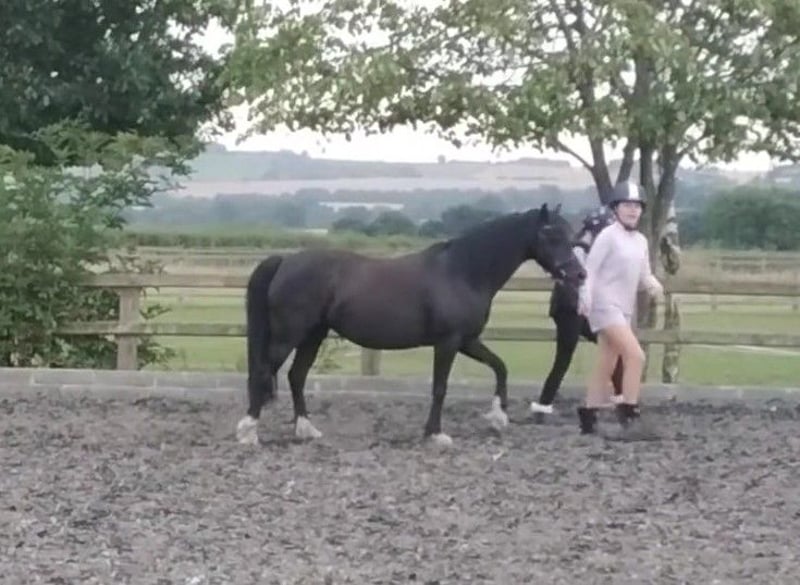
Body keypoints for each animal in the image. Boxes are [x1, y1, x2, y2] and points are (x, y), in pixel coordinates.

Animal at [236, 204, 587, 448]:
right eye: (551, 235)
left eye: (570, 235)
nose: (579, 275)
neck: (462, 272)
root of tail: (285, 261)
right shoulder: (448, 342)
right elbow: (440, 387)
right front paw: (435, 434)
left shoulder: (467, 340)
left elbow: (500, 367)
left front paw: (498, 417)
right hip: (290, 335)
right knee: (264, 371)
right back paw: (249, 431)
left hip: (313, 334)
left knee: (296, 375)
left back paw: (306, 430)